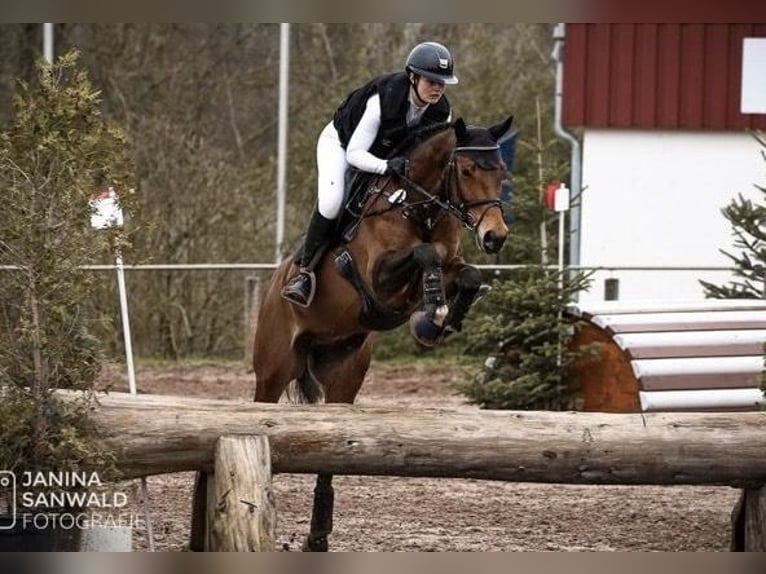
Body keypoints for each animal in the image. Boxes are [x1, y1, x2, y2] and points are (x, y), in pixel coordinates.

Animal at [255, 115, 512, 552]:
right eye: (466, 170)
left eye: (501, 171)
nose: (495, 236)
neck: (420, 208)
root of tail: (275, 284)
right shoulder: (378, 278)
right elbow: (427, 254)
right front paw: (434, 308)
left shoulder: (450, 265)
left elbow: (467, 273)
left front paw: (437, 323)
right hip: (273, 369)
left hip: (344, 374)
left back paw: (317, 536)